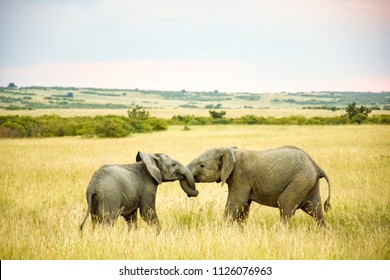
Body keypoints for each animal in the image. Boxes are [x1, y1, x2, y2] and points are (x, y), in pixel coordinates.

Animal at [184, 147, 330, 228]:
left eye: (202, 165)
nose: (194, 192)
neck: (226, 149)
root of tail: (316, 166)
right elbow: (243, 207)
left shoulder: (240, 177)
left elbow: (236, 203)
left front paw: (222, 229)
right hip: (308, 183)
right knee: (315, 209)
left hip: (299, 181)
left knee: (285, 204)